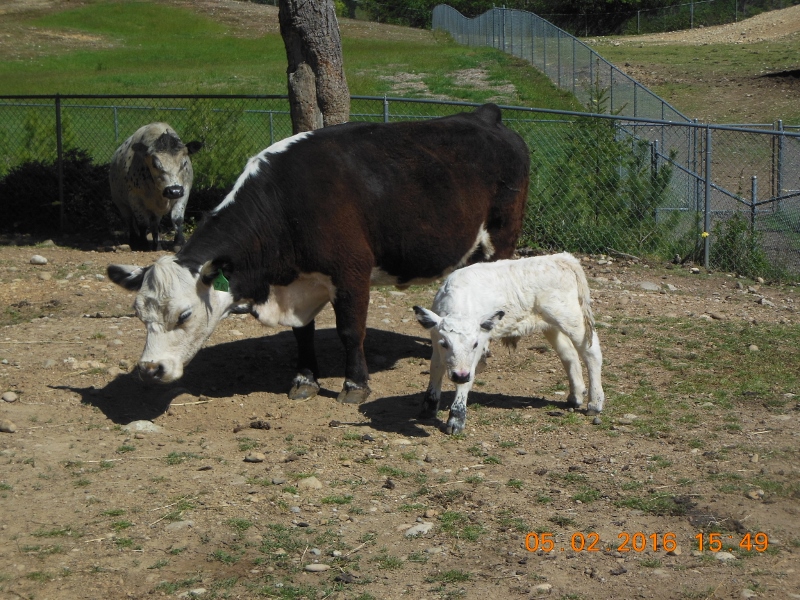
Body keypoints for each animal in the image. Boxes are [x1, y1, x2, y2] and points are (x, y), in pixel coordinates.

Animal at [109, 122, 203, 251]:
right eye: (155, 164)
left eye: (184, 163)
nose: (174, 191)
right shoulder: (135, 198)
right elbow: (142, 222)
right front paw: (142, 244)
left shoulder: (184, 192)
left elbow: (177, 219)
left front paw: (178, 243)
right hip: (121, 204)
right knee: (130, 221)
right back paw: (135, 241)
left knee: (154, 224)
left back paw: (157, 244)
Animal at [413, 252, 605, 435]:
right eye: (444, 343)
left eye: (474, 344)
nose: (459, 375)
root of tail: (562, 258)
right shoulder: (436, 342)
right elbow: (435, 368)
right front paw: (428, 408)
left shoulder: (476, 350)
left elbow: (466, 381)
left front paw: (456, 420)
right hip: (551, 325)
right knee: (569, 354)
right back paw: (575, 396)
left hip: (572, 318)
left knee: (591, 352)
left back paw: (594, 403)